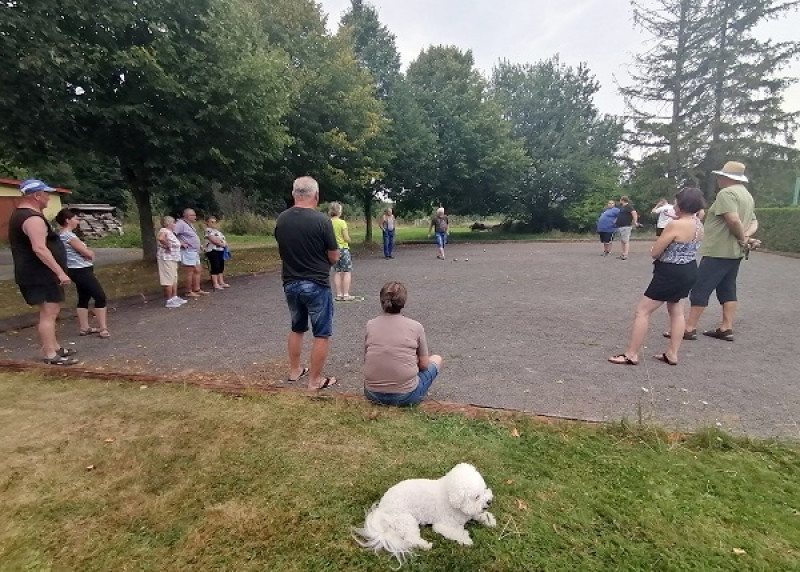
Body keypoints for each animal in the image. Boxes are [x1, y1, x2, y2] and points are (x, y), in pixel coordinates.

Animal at [353, 463, 496, 564]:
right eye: (476, 497)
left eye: (484, 489)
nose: (489, 501)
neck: (449, 496)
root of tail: (381, 510)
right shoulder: (442, 525)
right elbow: (456, 532)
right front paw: (465, 539)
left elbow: (478, 514)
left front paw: (489, 520)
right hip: (406, 520)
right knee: (411, 539)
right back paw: (425, 545)